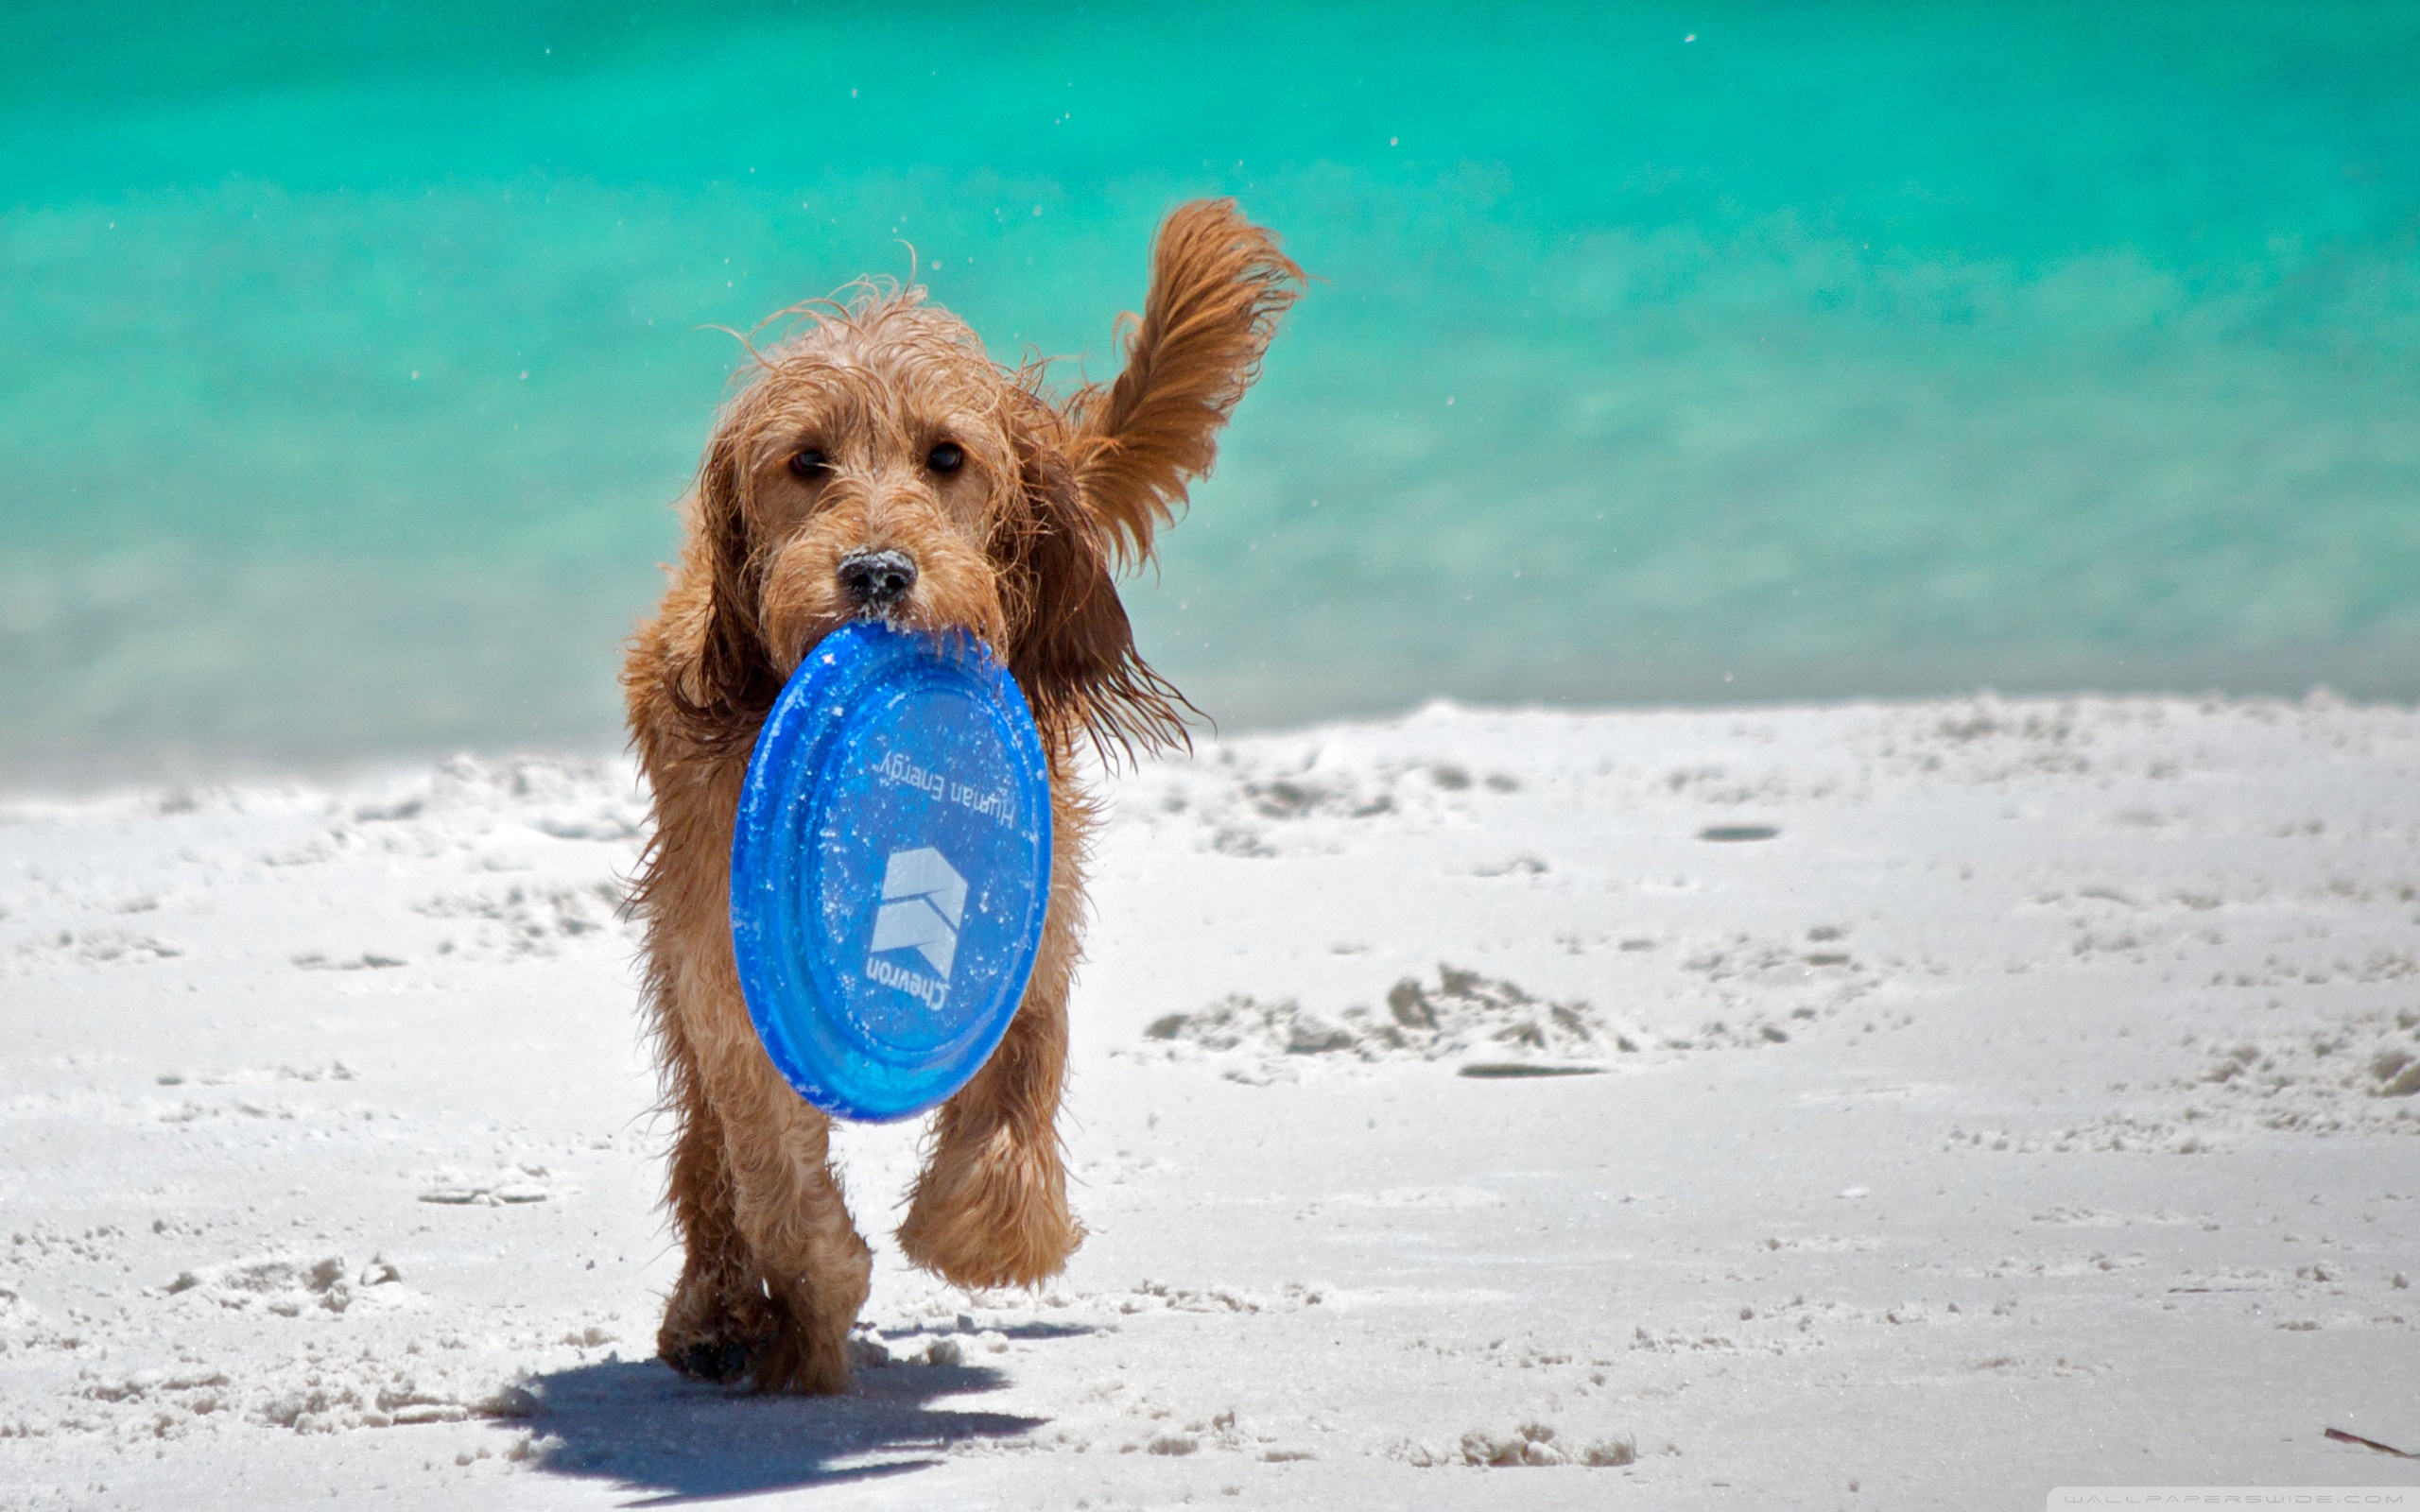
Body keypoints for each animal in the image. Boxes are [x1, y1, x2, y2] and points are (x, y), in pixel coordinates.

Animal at [624, 200, 1306, 1393]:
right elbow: (769, 1160)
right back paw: (716, 1310)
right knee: (706, 1149)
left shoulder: (1032, 914)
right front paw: (815, 1297)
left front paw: (981, 1234)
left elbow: (1018, 1087)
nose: (878, 573)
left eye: (947, 455)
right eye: (805, 461)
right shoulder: (727, 962)